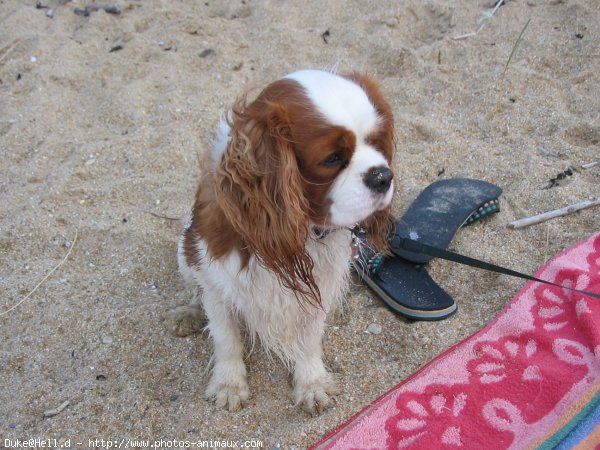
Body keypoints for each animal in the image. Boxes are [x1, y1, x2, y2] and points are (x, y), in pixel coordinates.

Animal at [173, 69, 394, 414]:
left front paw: (311, 383)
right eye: (332, 158)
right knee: (193, 290)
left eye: (376, 141)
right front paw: (229, 384)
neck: (303, 231)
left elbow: (310, 341)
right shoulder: (217, 283)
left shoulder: (319, 287)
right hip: (184, 250)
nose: (383, 176)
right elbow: (226, 339)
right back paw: (189, 312)